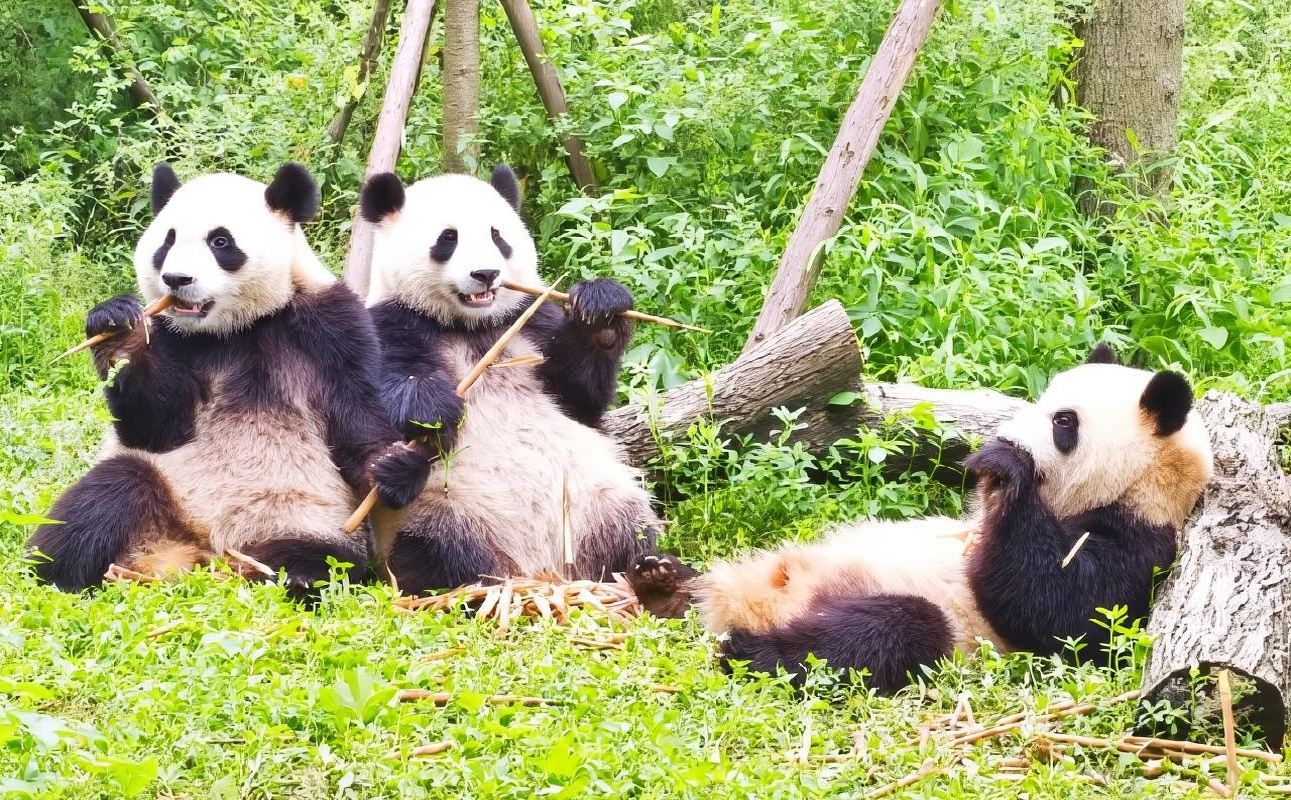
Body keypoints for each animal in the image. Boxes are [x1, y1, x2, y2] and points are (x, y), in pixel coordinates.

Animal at [27, 162, 422, 596]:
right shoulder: (172, 337)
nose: (176, 279)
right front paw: (119, 328)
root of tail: (203, 552)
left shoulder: (330, 325)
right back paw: (56, 573)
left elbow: (355, 416)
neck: (234, 328)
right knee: (105, 494)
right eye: (167, 240)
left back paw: (294, 574)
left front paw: (394, 466)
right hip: (166, 488)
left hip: (304, 518)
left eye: (220, 241)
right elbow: (156, 427)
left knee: (322, 560)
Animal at [357, 165, 660, 595]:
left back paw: (651, 576)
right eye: (447, 239)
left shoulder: (531, 319)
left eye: (497, 236)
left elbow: (581, 400)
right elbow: (374, 398)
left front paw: (600, 313)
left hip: (595, 499)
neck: (472, 327)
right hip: (444, 511)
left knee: (630, 529)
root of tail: (544, 572)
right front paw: (432, 409)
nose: (486, 274)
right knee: (436, 554)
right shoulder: (389, 320)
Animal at [626, 345, 1214, 692]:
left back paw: (750, 651)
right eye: (1043, 399)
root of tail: (749, 604)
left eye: (1063, 422)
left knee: (885, 632)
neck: (1142, 485)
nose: (1003, 436)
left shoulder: (1141, 544)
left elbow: (1063, 611)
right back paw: (664, 583)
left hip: (929, 623)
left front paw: (1004, 467)